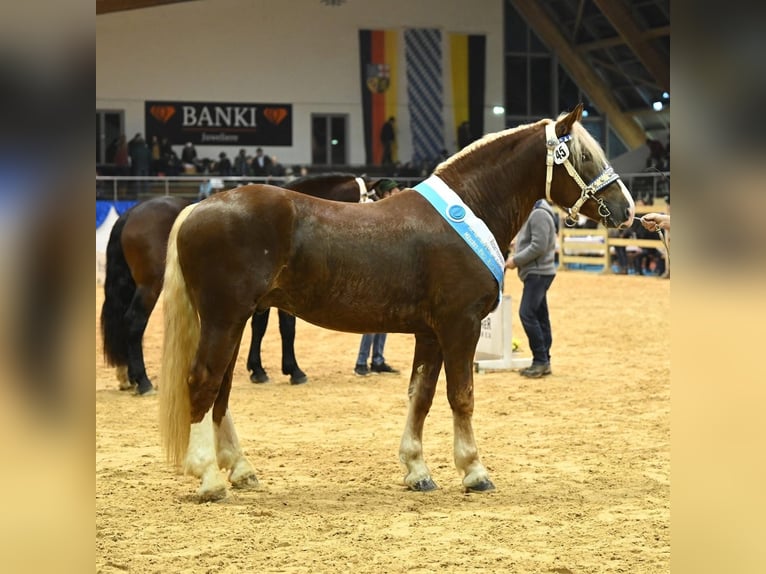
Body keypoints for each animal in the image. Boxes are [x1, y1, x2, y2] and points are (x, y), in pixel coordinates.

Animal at [100, 172, 388, 395]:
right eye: (374, 198)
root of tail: (131, 212)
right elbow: (287, 329)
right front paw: (294, 370)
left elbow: (259, 327)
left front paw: (258, 370)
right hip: (150, 285)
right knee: (134, 322)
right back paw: (143, 381)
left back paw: (127, 377)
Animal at [159, 105, 635, 501]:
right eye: (585, 157)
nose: (626, 209)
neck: (470, 209)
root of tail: (198, 207)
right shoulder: (460, 325)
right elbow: (461, 396)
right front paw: (474, 471)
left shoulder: (430, 333)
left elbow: (419, 396)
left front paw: (417, 470)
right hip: (224, 318)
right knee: (202, 381)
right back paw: (209, 479)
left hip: (234, 321)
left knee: (221, 389)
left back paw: (241, 470)